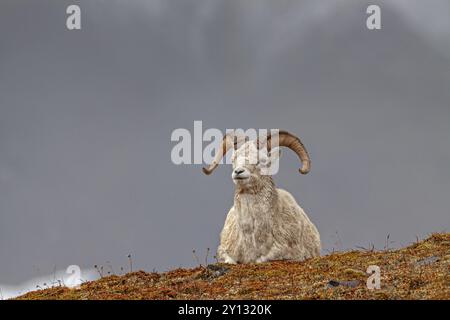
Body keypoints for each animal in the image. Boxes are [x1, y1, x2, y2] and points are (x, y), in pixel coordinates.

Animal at [202, 129, 322, 264]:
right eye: (233, 159)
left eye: (262, 161)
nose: (238, 172)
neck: (252, 238)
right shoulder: (224, 252)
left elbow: (262, 259)